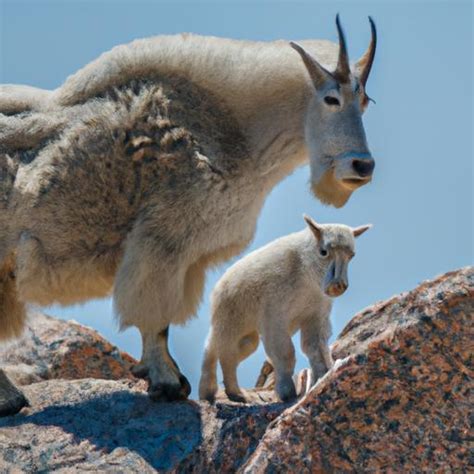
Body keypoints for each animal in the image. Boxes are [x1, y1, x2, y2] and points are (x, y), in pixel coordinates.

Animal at [0, 15, 378, 404]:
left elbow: (165, 321)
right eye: (331, 99)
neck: (232, 132)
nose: (362, 166)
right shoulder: (162, 242)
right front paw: (167, 383)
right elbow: (155, 318)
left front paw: (174, 381)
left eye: (365, 101)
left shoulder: (185, 258)